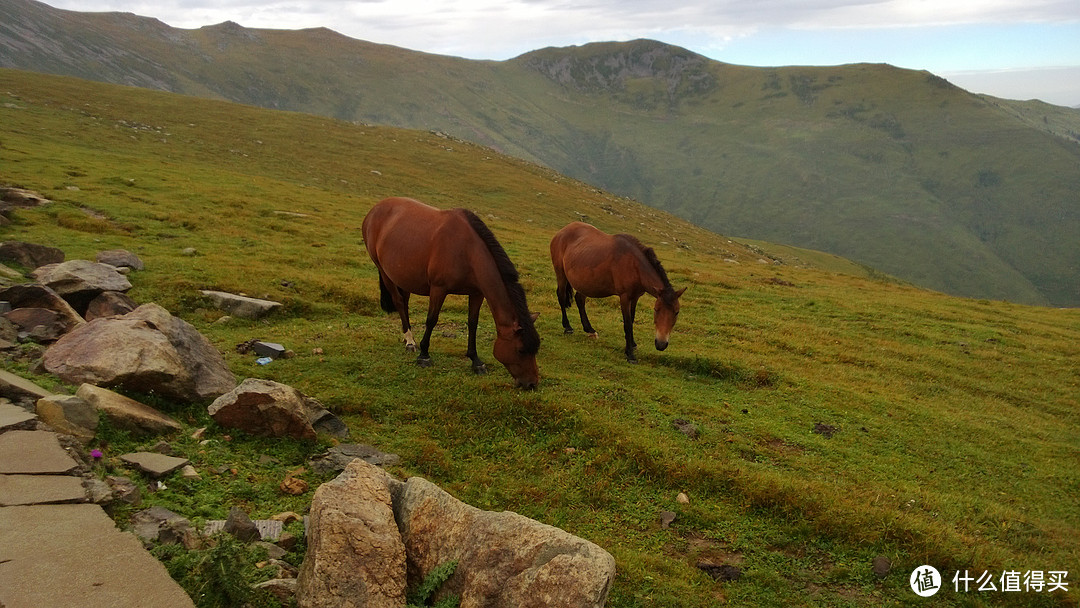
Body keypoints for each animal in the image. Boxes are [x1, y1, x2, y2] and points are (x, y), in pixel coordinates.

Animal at [360, 198, 540, 390]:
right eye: (521, 350)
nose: (532, 384)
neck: (467, 251)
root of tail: (375, 210)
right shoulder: (438, 289)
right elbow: (432, 320)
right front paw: (424, 356)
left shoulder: (477, 293)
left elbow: (472, 323)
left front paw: (476, 361)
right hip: (384, 272)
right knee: (399, 302)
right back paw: (410, 341)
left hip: (403, 276)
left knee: (405, 302)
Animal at [552, 225, 686, 365]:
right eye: (656, 310)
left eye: (676, 312)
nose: (661, 344)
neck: (634, 265)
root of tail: (561, 232)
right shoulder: (625, 297)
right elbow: (627, 324)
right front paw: (630, 354)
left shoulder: (635, 297)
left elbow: (631, 320)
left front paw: (632, 344)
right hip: (561, 273)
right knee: (561, 297)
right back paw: (567, 327)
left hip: (584, 283)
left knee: (580, 300)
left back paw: (589, 329)